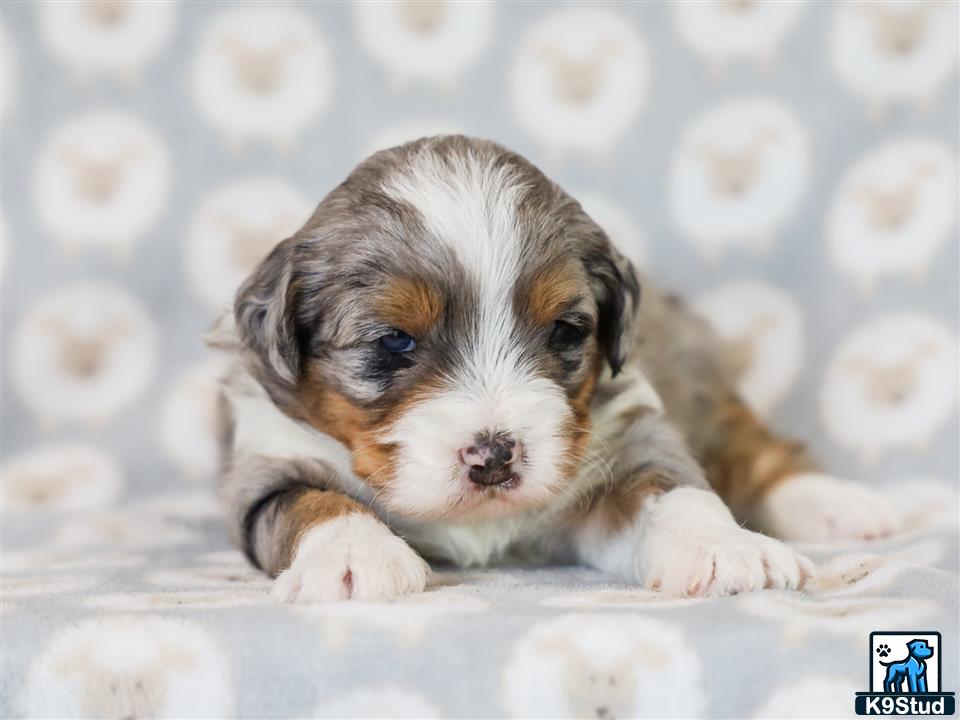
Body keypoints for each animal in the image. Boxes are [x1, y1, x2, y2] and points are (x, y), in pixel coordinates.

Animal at [208, 134, 900, 600]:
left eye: (565, 331)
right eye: (394, 342)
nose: (493, 456)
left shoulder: (628, 437)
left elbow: (675, 488)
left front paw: (724, 548)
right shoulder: (264, 464)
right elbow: (310, 500)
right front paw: (355, 557)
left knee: (752, 447)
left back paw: (840, 505)